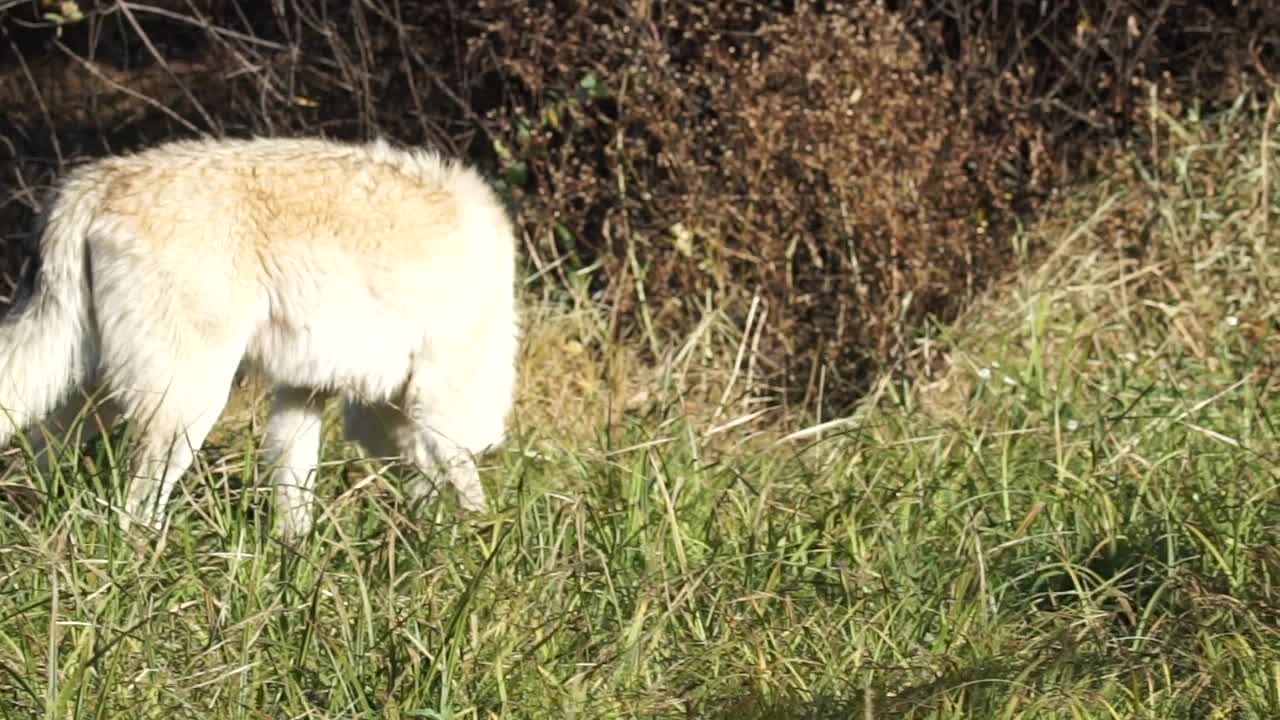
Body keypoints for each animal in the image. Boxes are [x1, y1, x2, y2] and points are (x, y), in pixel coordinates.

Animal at [1, 135, 519, 538]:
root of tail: (90, 183)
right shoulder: (435, 394)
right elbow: (463, 473)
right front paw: (481, 538)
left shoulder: (305, 392)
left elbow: (296, 491)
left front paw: (297, 565)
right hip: (185, 408)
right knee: (134, 508)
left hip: (94, 391)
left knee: (42, 446)